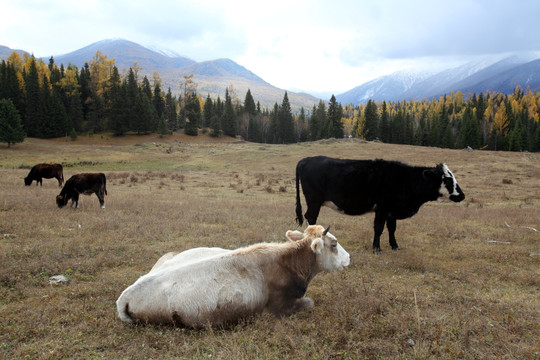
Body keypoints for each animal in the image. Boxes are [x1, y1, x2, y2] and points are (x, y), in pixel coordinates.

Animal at [116, 225, 352, 330]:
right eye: (334, 244)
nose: (349, 257)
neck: (288, 262)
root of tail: (126, 296)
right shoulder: (279, 308)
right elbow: (310, 303)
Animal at [294, 155, 466, 253]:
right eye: (447, 180)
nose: (462, 195)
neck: (405, 180)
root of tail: (306, 159)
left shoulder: (391, 210)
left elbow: (392, 228)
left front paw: (395, 246)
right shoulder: (382, 209)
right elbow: (379, 228)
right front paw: (377, 248)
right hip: (314, 201)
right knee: (310, 217)